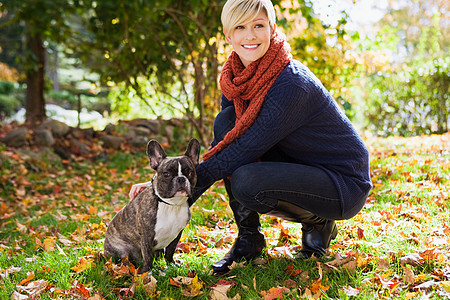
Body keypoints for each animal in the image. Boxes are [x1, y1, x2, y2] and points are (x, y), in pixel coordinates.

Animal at [104, 139, 200, 274]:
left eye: (190, 172)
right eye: (166, 174)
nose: (181, 178)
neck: (171, 204)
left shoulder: (177, 234)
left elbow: (170, 251)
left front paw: (171, 264)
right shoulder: (146, 236)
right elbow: (147, 256)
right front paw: (146, 273)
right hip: (121, 252)